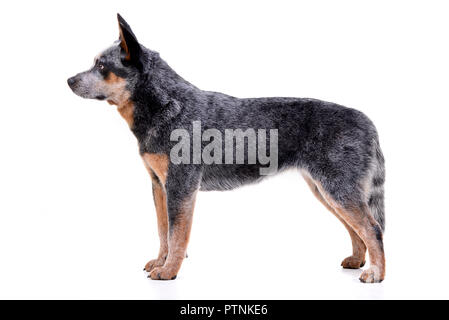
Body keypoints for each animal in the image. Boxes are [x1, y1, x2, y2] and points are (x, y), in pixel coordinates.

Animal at [68, 13, 384, 282]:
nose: (69, 80)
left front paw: (169, 271)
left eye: (101, 66)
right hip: (326, 189)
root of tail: (368, 122)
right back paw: (357, 261)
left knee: (372, 228)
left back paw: (376, 273)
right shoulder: (158, 183)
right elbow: (162, 229)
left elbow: (176, 233)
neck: (166, 105)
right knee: (356, 228)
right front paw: (160, 262)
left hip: (337, 188)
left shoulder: (181, 185)